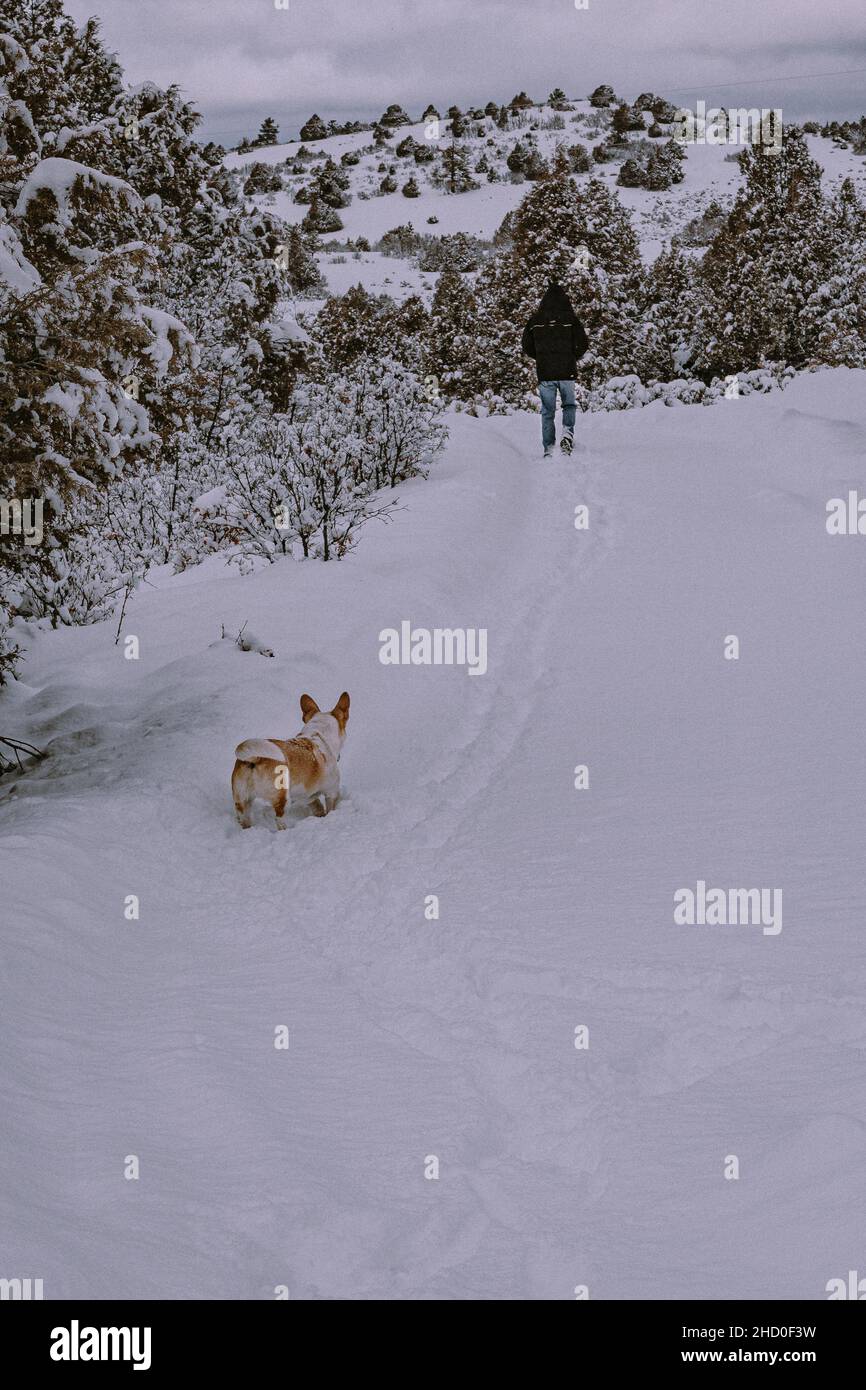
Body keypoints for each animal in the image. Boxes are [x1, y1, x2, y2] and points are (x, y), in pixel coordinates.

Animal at [233, 692, 353, 828]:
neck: (318, 736)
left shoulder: (307, 795)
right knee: (279, 819)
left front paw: (320, 814)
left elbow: (316, 805)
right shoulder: (331, 793)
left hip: (243, 801)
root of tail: (254, 758)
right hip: (283, 799)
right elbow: (330, 808)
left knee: (244, 819)